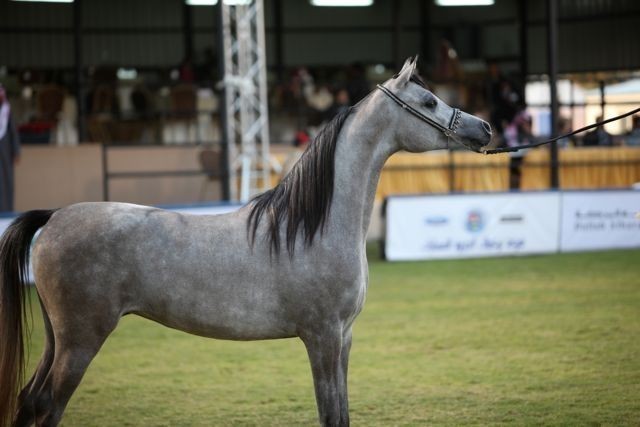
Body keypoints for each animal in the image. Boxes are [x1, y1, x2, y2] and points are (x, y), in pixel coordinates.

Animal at [0, 57, 491, 427]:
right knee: (49, 406)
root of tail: (56, 216)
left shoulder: (345, 338)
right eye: (428, 100)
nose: (484, 128)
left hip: (57, 339)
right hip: (81, 341)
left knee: (30, 400)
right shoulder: (322, 337)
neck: (313, 226)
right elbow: (330, 414)